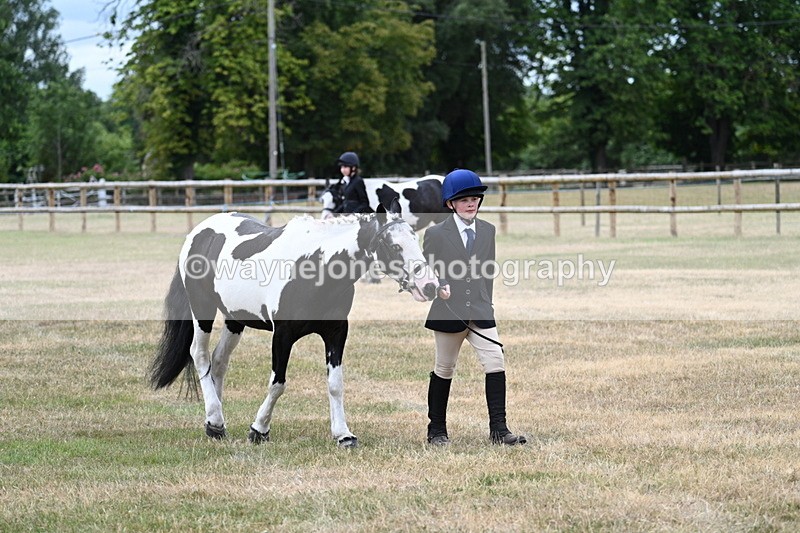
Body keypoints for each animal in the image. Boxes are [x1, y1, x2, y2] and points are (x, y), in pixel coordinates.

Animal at [149, 201, 439, 447]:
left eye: (416, 240)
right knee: (200, 355)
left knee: (219, 362)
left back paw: (214, 422)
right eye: (394, 246)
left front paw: (343, 434)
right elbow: (277, 384)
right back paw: (215, 419)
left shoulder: (336, 333)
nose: (430, 286)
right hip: (202, 310)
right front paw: (259, 429)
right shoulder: (283, 335)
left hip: (235, 319)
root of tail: (198, 233)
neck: (315, 267)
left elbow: (336, 384)